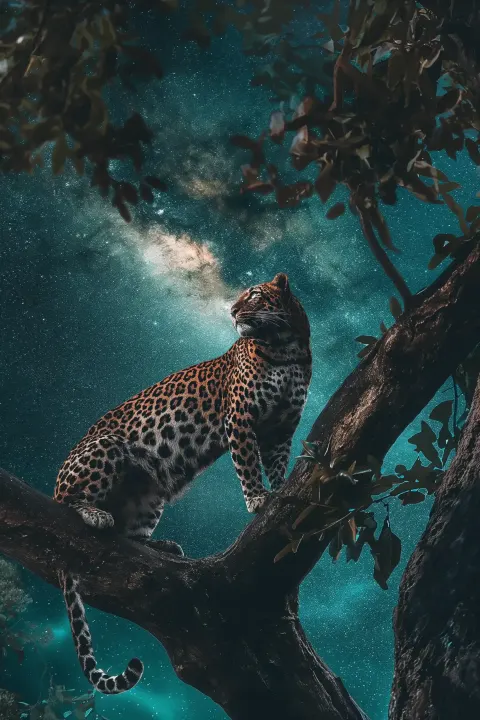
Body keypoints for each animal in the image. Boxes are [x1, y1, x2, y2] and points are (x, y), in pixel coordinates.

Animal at [54, 272, 312, 695]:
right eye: (242, 296)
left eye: (254, 295)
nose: (233, 310)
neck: (286, 347)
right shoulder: (240, 418)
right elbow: (248, 465)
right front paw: (258, 499)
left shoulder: (282, 427)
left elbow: (276, 466)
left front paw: (279, 489)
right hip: (105, 448)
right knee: (70, 502)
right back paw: (92, 513)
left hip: (149, 495)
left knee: (130, 539)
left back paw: (162, 546)